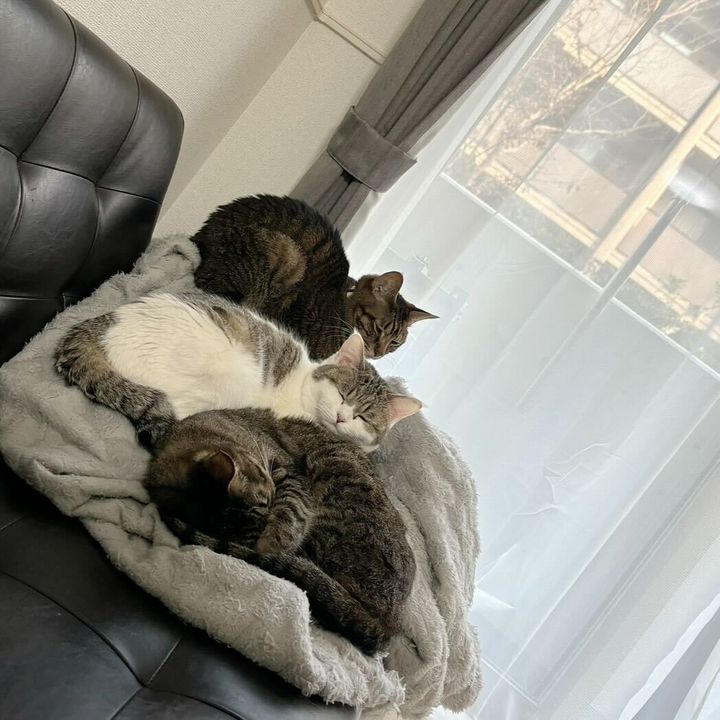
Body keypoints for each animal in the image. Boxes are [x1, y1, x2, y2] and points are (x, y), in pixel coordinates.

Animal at [145, 407, 416, 655]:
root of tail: (390, 624)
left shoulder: (288, 470)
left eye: (266, 501)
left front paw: (273, 544)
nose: (270, 497)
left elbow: (290, 509)